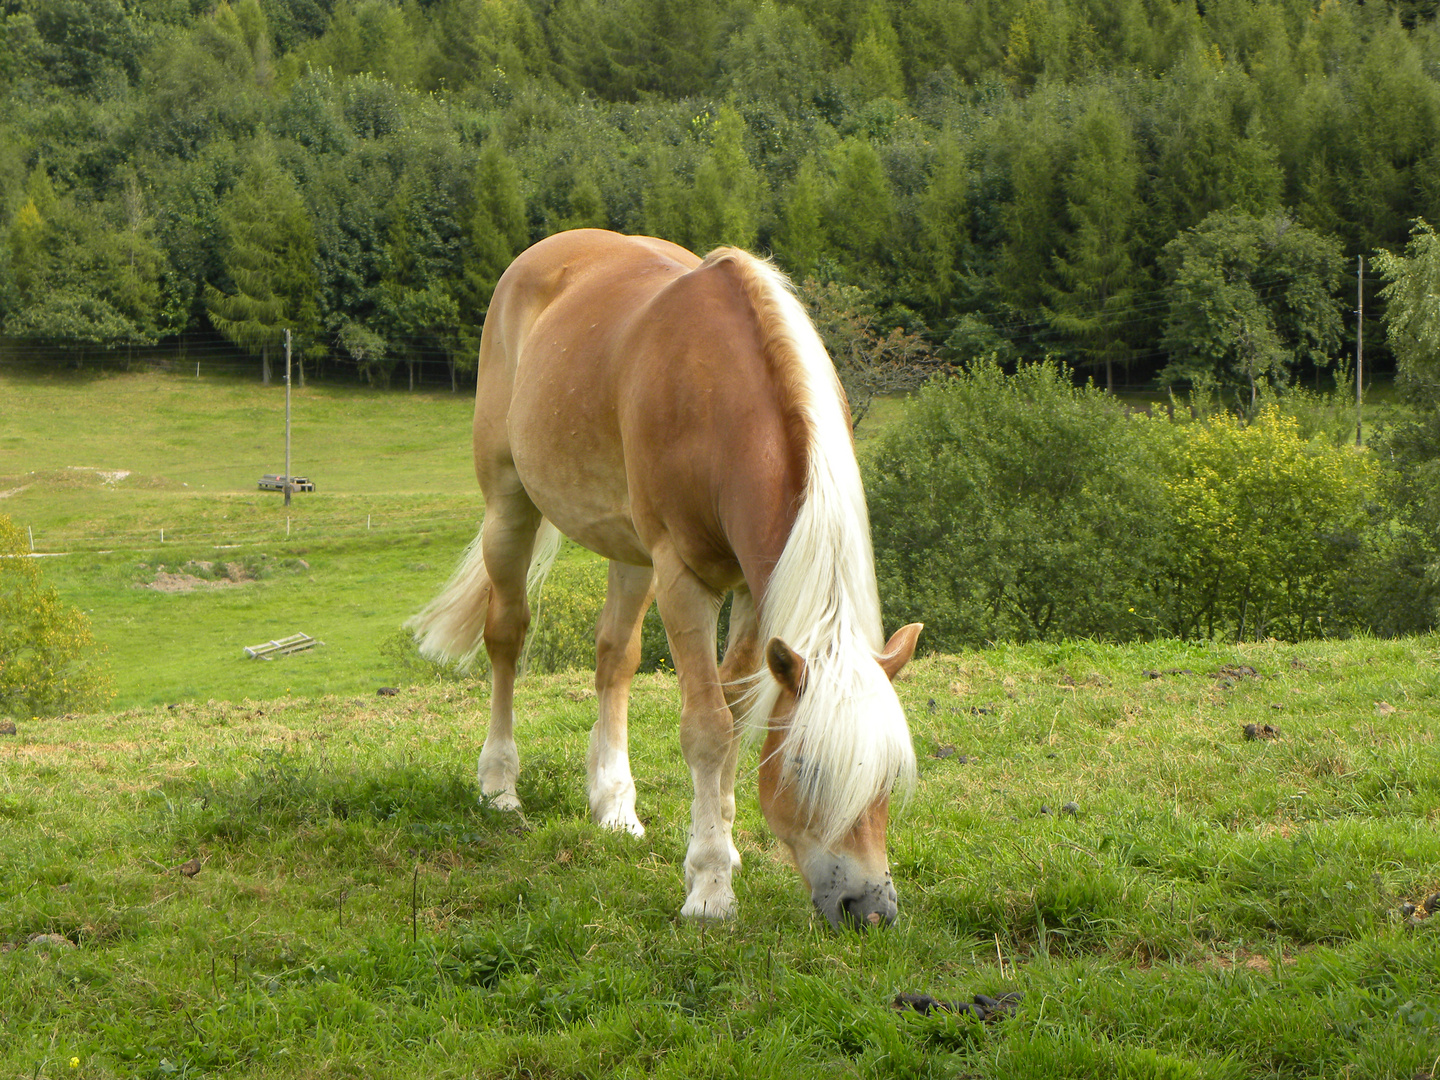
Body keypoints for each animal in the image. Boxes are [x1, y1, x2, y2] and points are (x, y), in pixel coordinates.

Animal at [406, 228, 921, 933]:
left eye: (889, 777)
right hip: (510, 507)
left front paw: (721, 847)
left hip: (630, 552)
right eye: (808, 768)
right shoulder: (683, 577)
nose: (870, 909)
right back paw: (500, 784)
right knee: (506, 636)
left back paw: (614, 803)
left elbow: (736, 715)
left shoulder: (752, 591)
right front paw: (709, 887)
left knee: (613, 658)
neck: (720, 398)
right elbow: (707, 727)